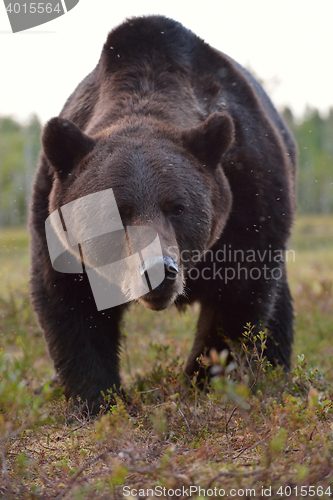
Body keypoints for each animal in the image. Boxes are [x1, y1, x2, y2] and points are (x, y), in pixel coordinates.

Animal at [30, 16, 296, 414]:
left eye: (178, 207)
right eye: (116, 213)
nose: (158, 270)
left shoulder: (250, 197)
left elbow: (237, 300)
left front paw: (200, 383)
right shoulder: (54, 222)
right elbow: (71, 303)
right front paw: (99, 400)